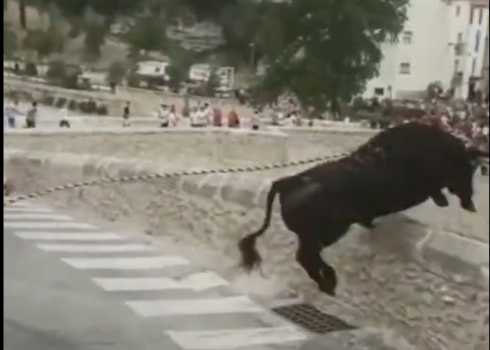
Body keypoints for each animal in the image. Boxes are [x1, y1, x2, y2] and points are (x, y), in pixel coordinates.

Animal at [238, 123, 490, 296]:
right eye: (466, 167)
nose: (470, 203)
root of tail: (288, 182)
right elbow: (434, 190)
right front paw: (443, 200)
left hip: (314, 235)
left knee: (305, 257)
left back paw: (327, 283)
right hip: (326, 233)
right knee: (305, 256)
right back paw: (330, 282)